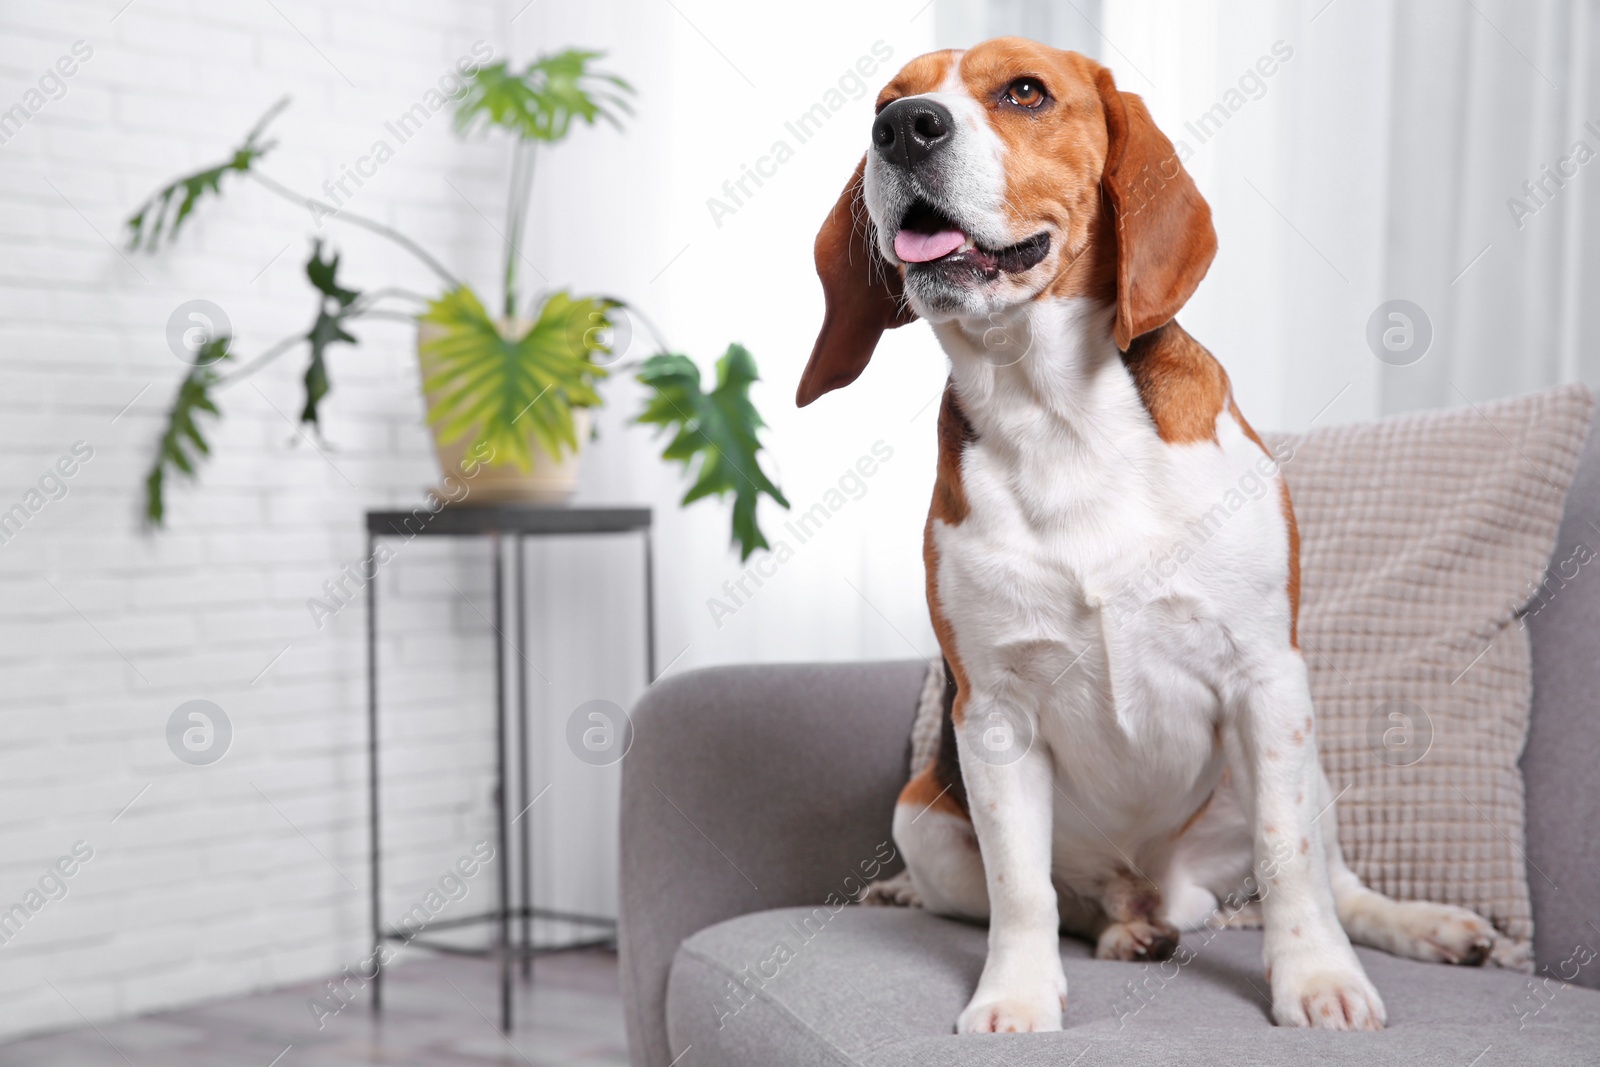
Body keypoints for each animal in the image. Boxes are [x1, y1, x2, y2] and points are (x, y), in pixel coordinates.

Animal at [800, 41, 1497, 1036]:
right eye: (885, 104)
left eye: (1025, 92)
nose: (901, 129)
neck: (1057, 416)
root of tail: (1166, 891)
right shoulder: (991, 709)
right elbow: (1021, 888)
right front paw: (1016, 995)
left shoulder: (1267, 677)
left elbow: (1290, 861)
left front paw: (1317, 978)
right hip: (922, 815)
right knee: (1069, 902)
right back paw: (1121, 927)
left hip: (1296, 763)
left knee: (1337, 878)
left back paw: (1420, 924)